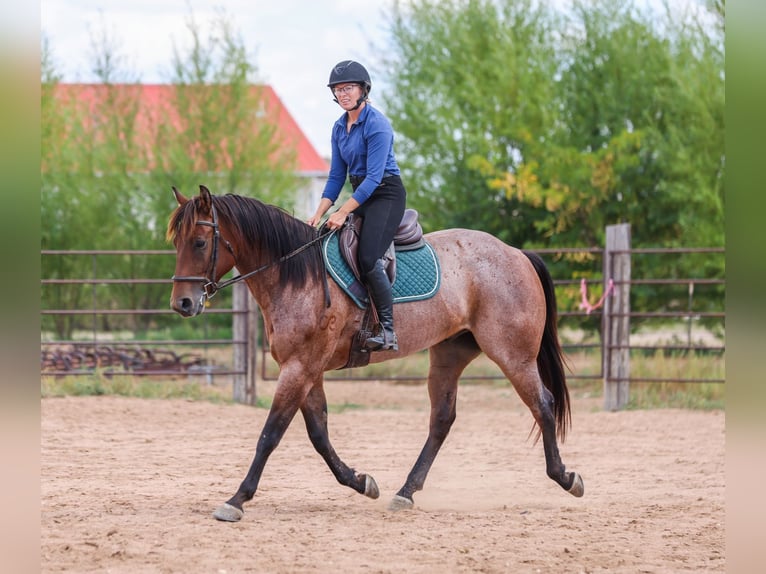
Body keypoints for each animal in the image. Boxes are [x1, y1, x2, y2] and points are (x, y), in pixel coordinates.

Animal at [167, 185, 584, 522]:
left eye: (199, 243)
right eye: (176, 244)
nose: (182, 304)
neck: (297, 274)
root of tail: (516, 253)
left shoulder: (300, 367)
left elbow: (271, 433)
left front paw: (236, 499)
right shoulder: (306, 369)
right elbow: (318, 434)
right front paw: (360, 481)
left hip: (512, 355)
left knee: (543, 404)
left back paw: (566, 477)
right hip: (450, 354)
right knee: (442, 419)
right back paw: (406, 492)